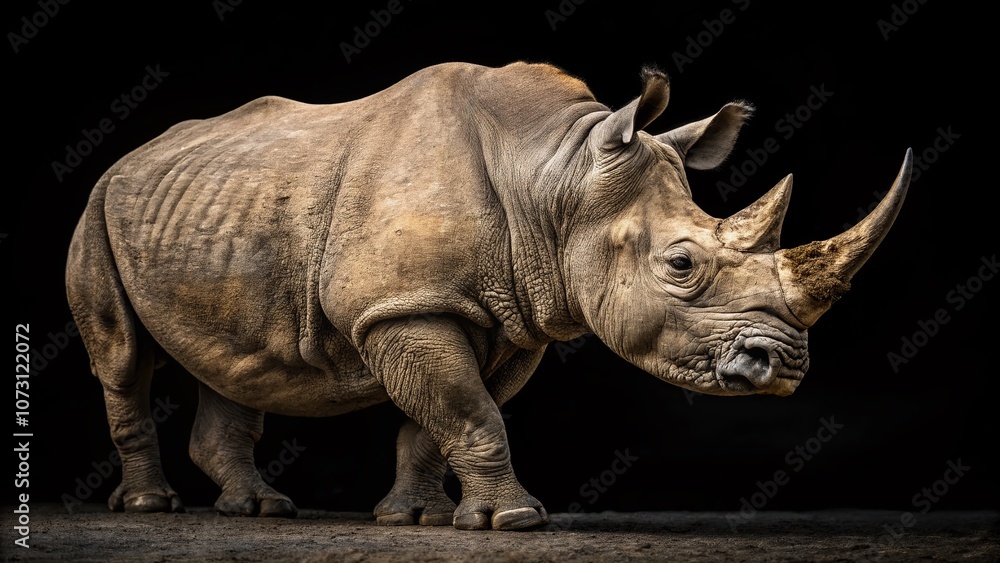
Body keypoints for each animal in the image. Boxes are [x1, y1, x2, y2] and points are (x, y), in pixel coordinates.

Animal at [66, 61, 910, 531]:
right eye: (680, 263)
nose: (785, 365)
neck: (556, 177)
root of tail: (134, 155)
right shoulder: (409, 304)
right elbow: (470, 413)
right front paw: (517, 519)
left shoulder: (511, 317)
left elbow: (440, 419)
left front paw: (422, 517)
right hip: (100, 205)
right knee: (122, 357)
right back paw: (152, 507)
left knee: (232, 360)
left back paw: (258, 508)